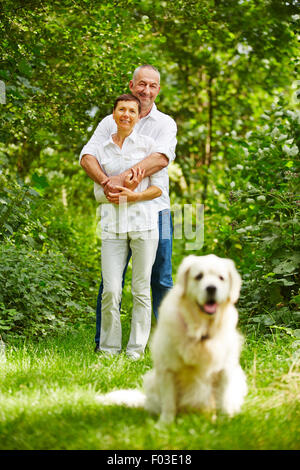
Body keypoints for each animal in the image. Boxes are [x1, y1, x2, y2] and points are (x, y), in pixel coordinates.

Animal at [96, 255, 248, 424]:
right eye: (199, 276)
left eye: (221, 278)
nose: (211, 288)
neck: (199, 331)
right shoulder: (167, 369)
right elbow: (169, 403)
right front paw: (164, 425)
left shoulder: (224, 370)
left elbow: (222, 400)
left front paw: (223, 423)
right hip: (152, 381)